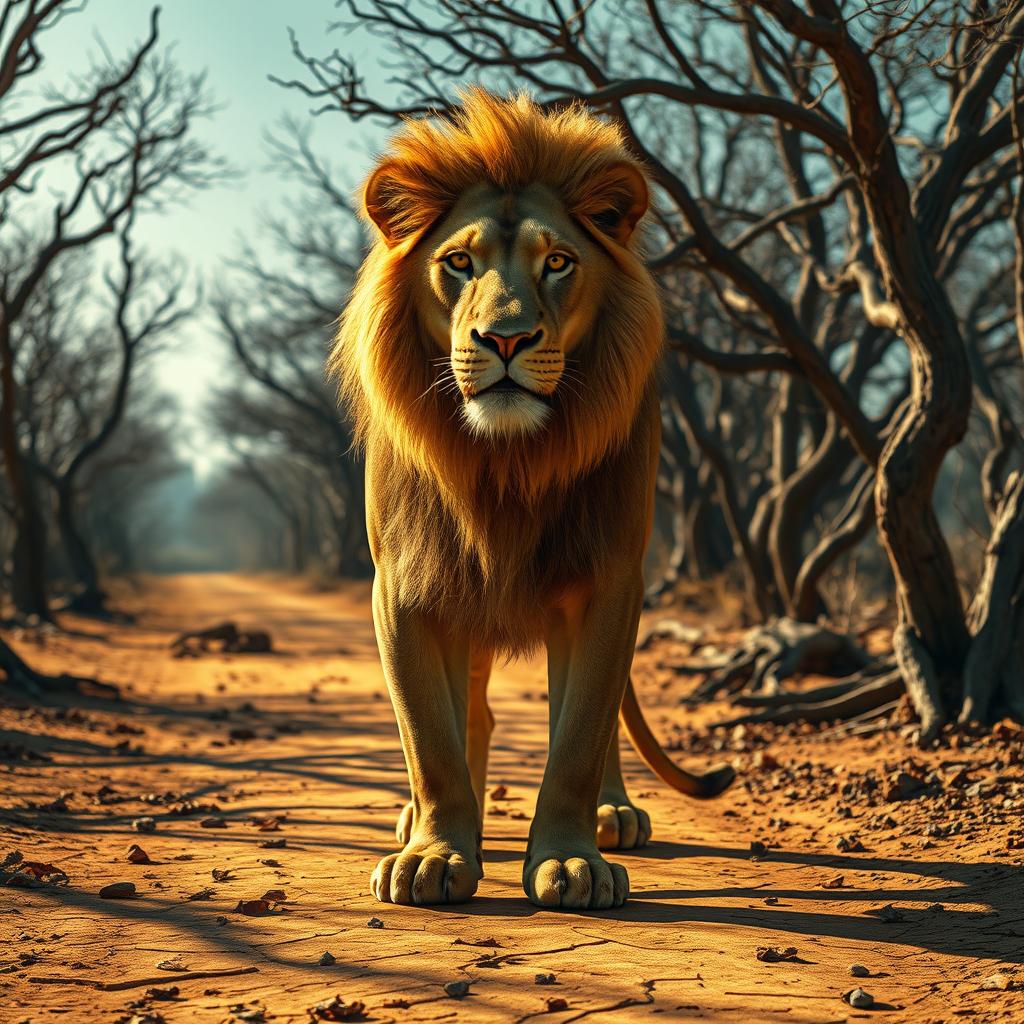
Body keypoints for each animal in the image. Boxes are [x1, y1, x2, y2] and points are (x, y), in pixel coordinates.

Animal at [333, 89, 733, 911]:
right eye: (458, 262)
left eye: (558, 261)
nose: (507, 339)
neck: (504, 463)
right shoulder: (406, 585)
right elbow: (432, 736)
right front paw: (435, 851)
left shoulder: (611, 581)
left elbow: (579, 734)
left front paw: (572, 860)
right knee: (475, 714)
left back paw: (614, 814)